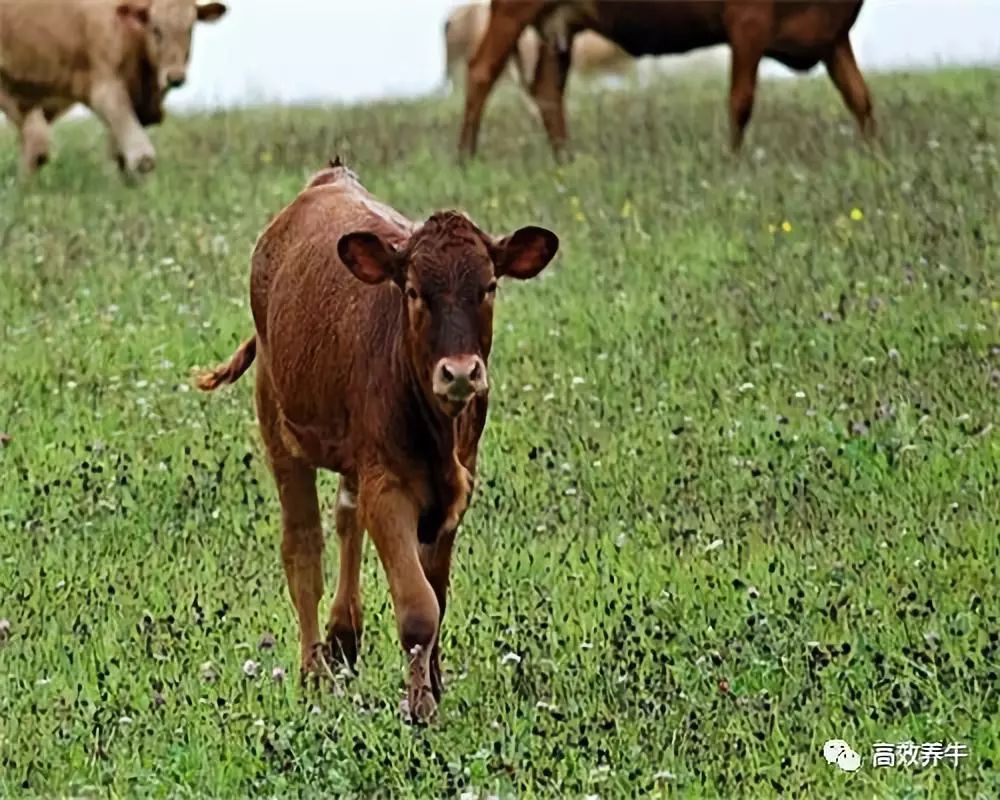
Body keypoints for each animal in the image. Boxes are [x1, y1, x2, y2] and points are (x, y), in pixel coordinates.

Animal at [195, 158, 556, 720]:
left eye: (489, 286)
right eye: (413, 291)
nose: (460, 373)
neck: (437, 432)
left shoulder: (458, 485)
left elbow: (437, 591)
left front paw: (433, 682)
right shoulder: (388, 486)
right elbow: (418, 606)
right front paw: (420, 706)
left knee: (346, 517)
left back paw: (344, 637)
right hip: (278, 424)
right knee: (303, 546)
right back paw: (314, 671)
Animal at [460, 0, 876, 158]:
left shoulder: (832, 36)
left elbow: (860, 98)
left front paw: (874, 156)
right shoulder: (748, 22)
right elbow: (741, 101)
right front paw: (733, 162)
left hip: (559, 25)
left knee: (548, 91)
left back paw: (566, 160)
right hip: (512, 11)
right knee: (481, 71)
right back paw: (466, 157)